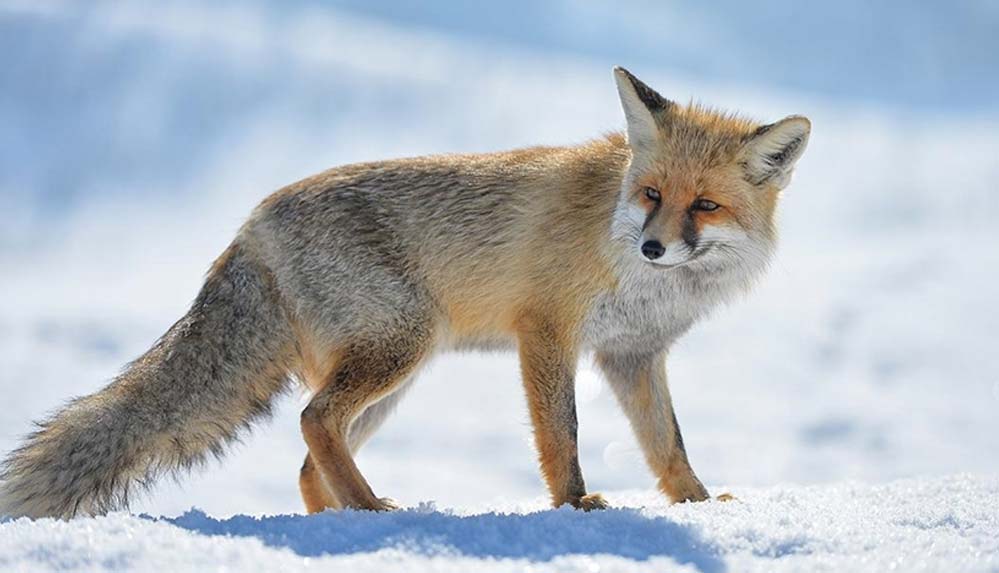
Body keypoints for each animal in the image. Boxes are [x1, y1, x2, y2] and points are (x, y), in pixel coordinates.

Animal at [0, 68, 812, 520]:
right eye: (650, 195)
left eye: (703, 205)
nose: (651, 247)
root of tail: (251, 223)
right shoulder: (546, 332)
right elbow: (563, 437)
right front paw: (575, 507)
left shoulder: (631, 356)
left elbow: (667, 443)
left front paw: (701, 503)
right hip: (401, 349)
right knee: (312, 421)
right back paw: (367, 509)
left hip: (393, 378)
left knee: (307, 457)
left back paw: (343, 528)